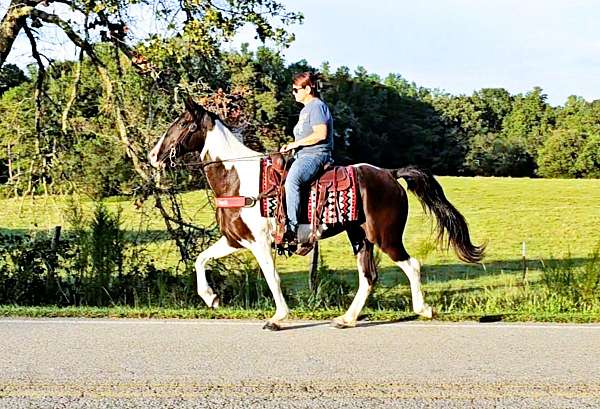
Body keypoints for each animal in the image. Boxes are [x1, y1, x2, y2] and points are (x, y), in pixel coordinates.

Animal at [148, 97, 486, 330]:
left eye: (182, 124)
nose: (153, 156)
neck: (238, 177)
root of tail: (390, 174)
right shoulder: (234, 240)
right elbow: (200, 259)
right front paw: (211, 297)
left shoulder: (260, 243)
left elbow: (272, 278)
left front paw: (278, 318)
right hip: (360, 237)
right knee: (368, 276)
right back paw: (347, 318)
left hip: (385, 236)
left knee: (410, 265)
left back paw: (423, 309)